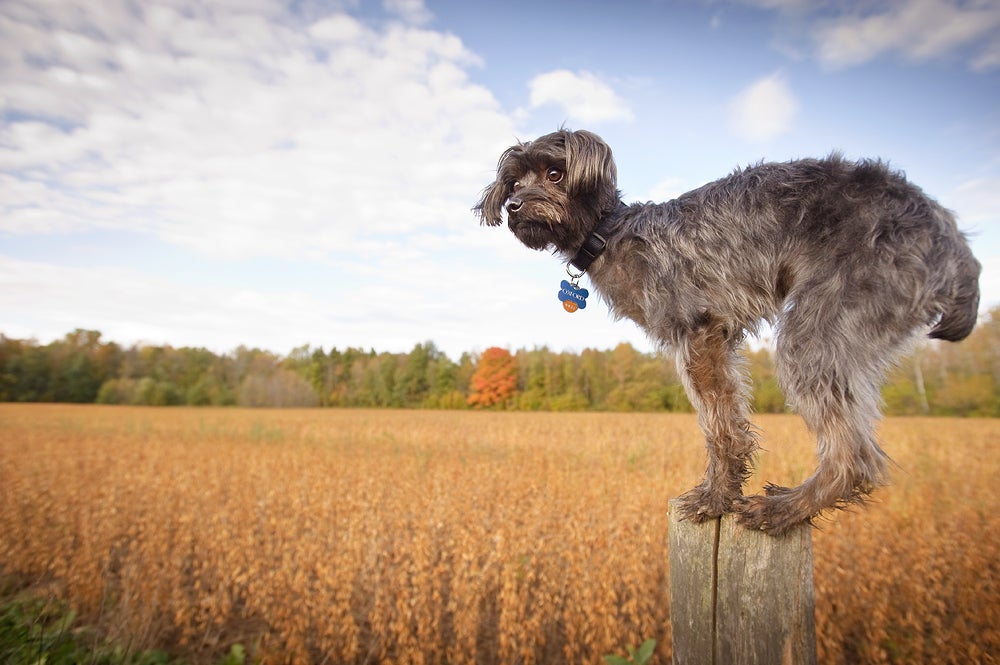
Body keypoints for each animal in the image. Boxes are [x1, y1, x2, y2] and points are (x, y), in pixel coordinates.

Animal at [472, 128, 980, 536]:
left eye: (555, 174)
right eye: (514, 182)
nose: (514, 205)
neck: (610, 233)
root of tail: (953, 242)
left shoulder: (701, 335)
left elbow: (720, 427)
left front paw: (716, 499)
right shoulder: (718, 339)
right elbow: (730, 420)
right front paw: (724, 491)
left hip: (813, 335)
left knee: (854, 456)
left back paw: (786, 509)